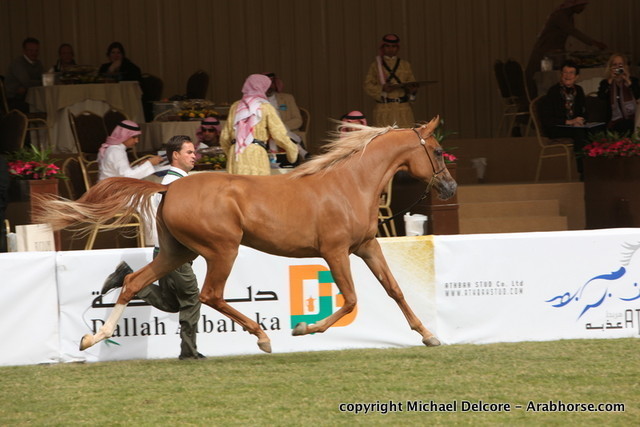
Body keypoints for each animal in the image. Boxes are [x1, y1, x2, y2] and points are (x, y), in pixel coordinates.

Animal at [34, 116, 456, 353]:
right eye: (437, 150)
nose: (450, 187)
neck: (350, 184)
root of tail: (170, 187)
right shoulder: (335, 252)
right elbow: (351, 300)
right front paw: (304, 328)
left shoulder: (366, 246)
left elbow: (394, 289)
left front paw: (428, 335)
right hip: (223, 250)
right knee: (210, 295)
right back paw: (263, 337)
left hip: (178, 252)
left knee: (135, 282)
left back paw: (91, 338)